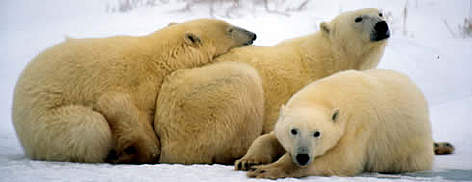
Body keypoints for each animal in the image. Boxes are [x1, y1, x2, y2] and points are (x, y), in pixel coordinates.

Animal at [12, 18, 254, 164]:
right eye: (230, 29)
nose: (253, 35)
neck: (159, 58)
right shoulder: (133, 84)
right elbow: (126, 112)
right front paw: (145, 151)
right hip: (44, 120)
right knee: (90, 126)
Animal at [245, 69, 434, 179]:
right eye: (293, 130)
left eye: (317, 133)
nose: (303, 156)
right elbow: (269, 137)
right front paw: (247, 161)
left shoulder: (358, 125)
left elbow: (343, 159)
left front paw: (265, 170)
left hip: (409, 147)